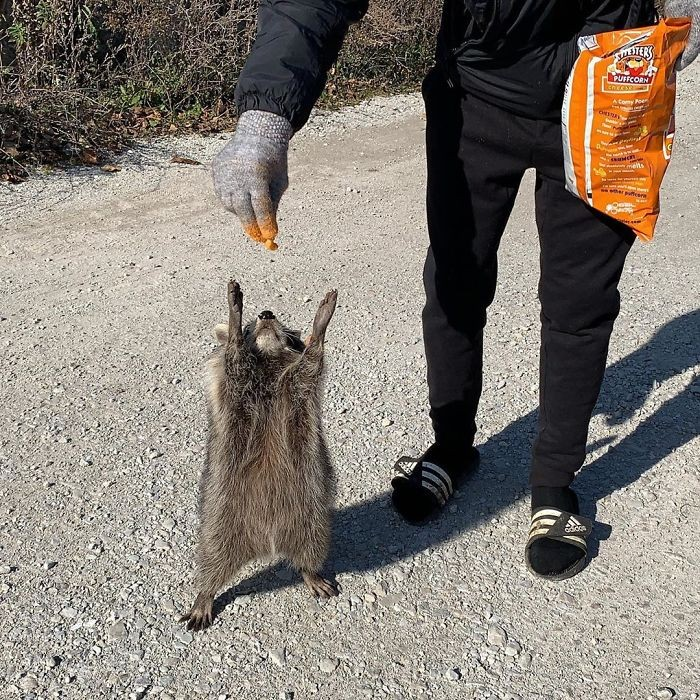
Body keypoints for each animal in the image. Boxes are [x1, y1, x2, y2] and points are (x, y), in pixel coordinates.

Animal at [180, 280, 340, 636]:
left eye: (281, 323)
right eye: (253, 325)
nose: (266, 313)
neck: (267, 359)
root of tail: (268, 542)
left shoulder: (297, 386)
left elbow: (311, 364)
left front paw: (319, 327)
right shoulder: (235, 383)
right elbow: (235, 358)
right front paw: (234, 320)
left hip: (311, 518)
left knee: (312, 548)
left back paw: (310, 570)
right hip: (220, 519)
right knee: (211, 557)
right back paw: (204, 592)